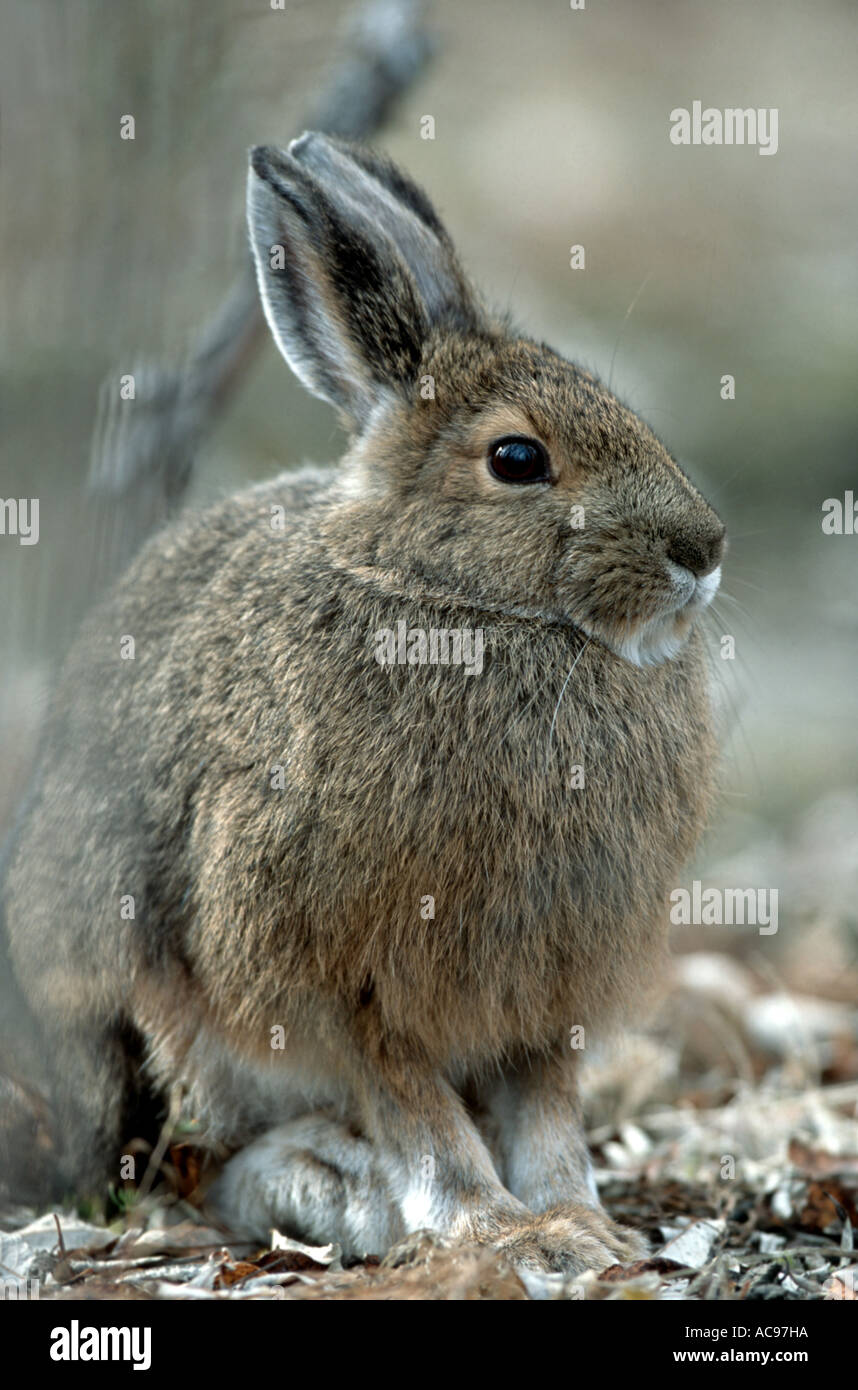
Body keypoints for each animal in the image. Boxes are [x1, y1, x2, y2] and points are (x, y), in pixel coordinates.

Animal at [2, 132, 725, 1274]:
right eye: (518, 459)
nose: (703, 550)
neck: (445, 600)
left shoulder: (547, 992)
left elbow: (547, 1112)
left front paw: (583, 1227)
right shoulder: (338, 981)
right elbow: (415, 1108)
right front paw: (489, 1227)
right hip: (144, 1015)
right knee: (192, 1165)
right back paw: (340, 1187)